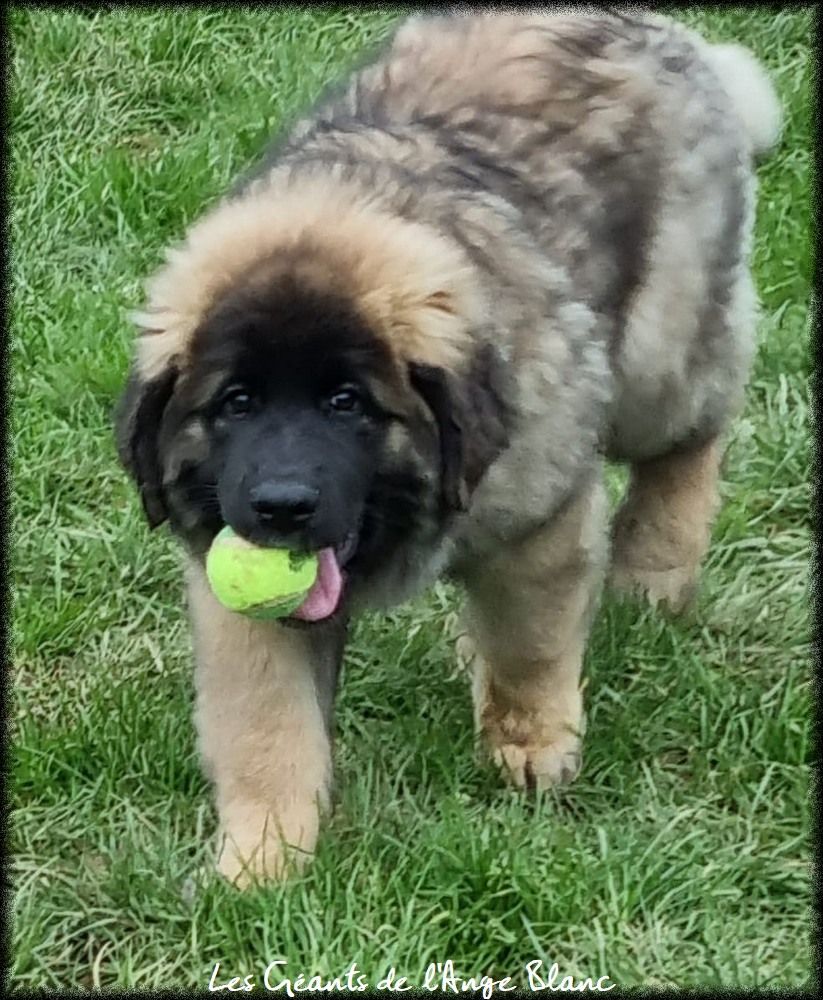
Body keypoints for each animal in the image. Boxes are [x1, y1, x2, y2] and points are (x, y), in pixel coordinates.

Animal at [115, 10, 781, 886]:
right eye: (236, 403)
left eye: (347, 404)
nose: (281, 507)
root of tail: (662, 29)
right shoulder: (238, 590)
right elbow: (266, 727)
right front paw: (260, 864)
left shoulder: (538, 515)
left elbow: (531, 642)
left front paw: (529, 742)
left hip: (657, 349)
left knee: (691, 433)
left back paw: (653, 568)